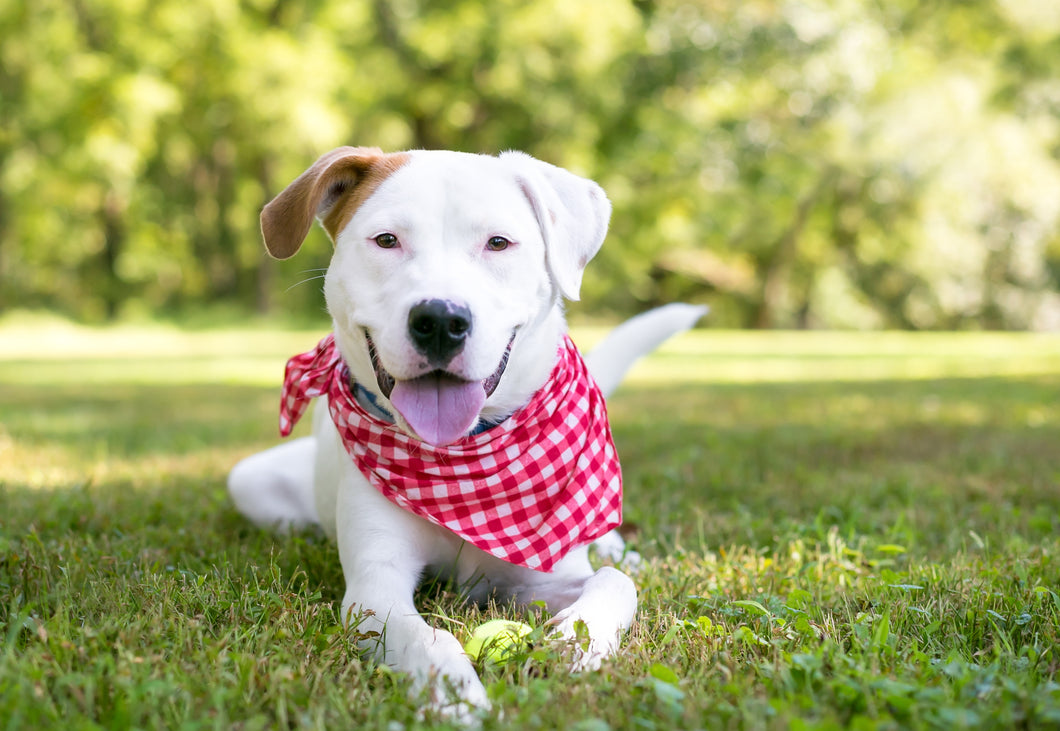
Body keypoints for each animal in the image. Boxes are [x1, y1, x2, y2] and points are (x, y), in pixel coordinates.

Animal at [225, 148, 703, 716]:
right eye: (387, 240)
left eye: (498, 242)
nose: (439, 319)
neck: (460, 460)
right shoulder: (376, 587)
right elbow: (422, 636)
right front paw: (452, 692)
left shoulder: (542, 572)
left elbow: (617, 584)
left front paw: (578, 640)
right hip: (248, 480)